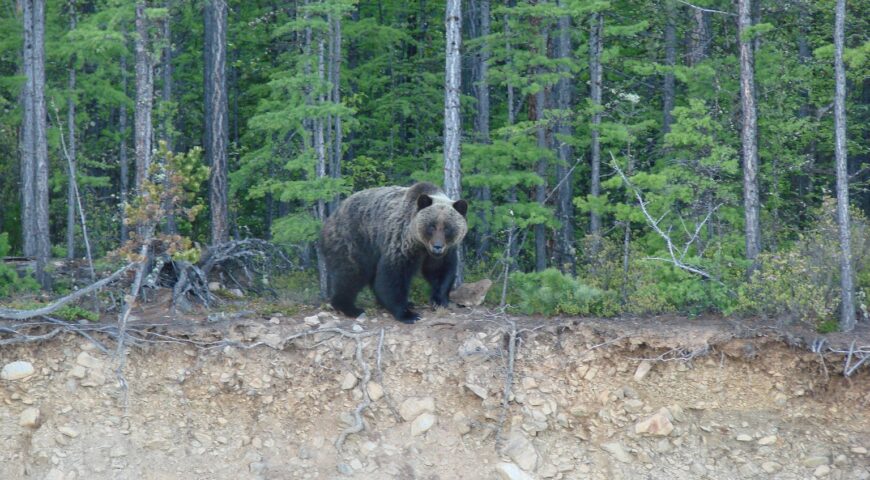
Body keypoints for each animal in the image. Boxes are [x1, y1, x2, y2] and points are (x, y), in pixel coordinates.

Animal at [320, 182, 468, 323]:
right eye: (431, 226)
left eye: (447, 228)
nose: (437, 246)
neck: (421, 245)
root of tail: (331, 217)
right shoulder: (401, 243)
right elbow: (392, 276)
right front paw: (407, 314)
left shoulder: (441, 253)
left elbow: (441, 271)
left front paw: (439, 300)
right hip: (354, 241)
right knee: (350, 274)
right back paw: (350, 308)